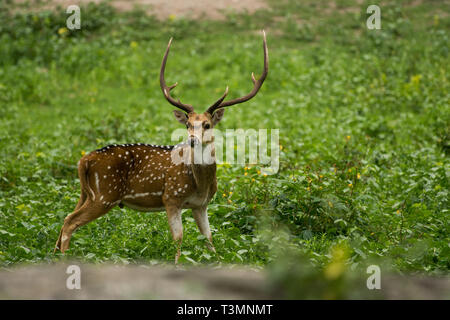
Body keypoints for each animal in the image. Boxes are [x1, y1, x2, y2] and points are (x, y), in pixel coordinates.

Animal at [54, 31, 268, 264]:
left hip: (87, 193)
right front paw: (177, 264)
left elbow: (209, 237)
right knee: (70, 221)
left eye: (207, 124)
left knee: (65, 218)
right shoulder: (171, 196)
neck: (201, 183)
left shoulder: (201, 204)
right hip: (105, 193)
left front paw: (218, 262)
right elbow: (178, 237)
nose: (192, 140)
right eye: (187, 124)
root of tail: (84, 160)